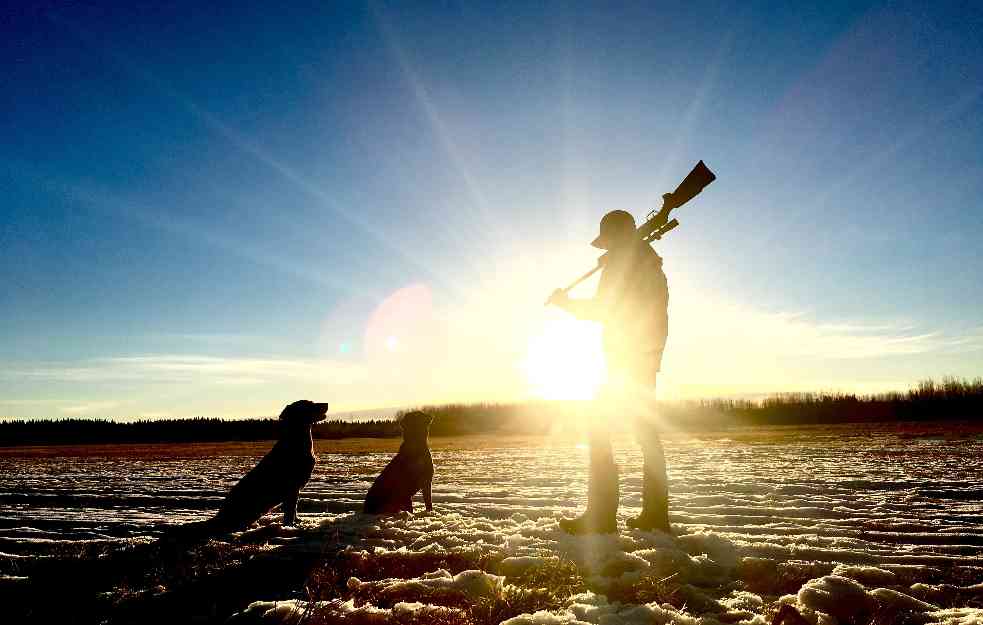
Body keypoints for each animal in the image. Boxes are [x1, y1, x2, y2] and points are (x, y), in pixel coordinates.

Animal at [209, 400, 328, 532]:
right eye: (309, 404)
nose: (327, 404)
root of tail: (217, 518)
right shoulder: (292, 488)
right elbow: (290, 512)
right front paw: (290, 527)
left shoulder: (294, 490)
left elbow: (294, 510)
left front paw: (297, 523)